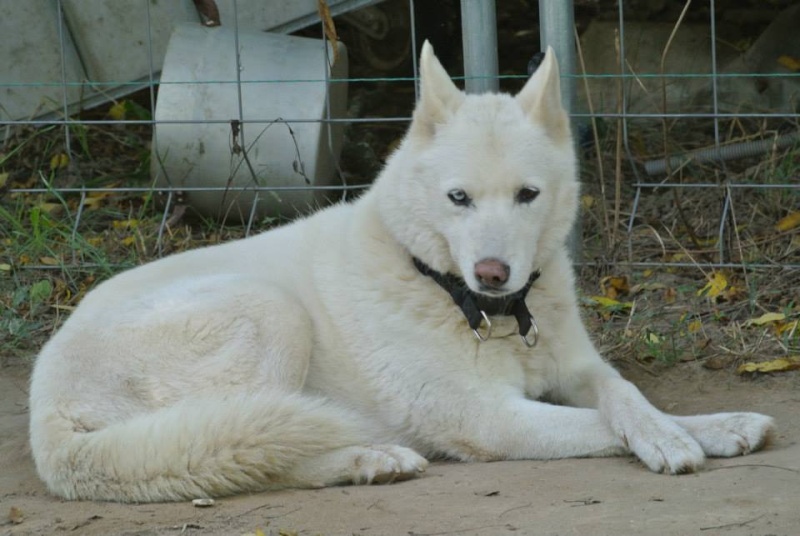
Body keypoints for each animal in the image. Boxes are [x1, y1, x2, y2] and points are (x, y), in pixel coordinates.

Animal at [31, 43, 776, 502]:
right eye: (458, 198)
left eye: (527, 195)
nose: (494, 272)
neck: (460, 296)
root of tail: (46, 413)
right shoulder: (490, 419)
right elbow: (595, 424)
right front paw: (680, 438)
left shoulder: (576, 366)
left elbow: (625, 394)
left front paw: (704, 425)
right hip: (270, 313)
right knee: (251, 452)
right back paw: (369, 458)